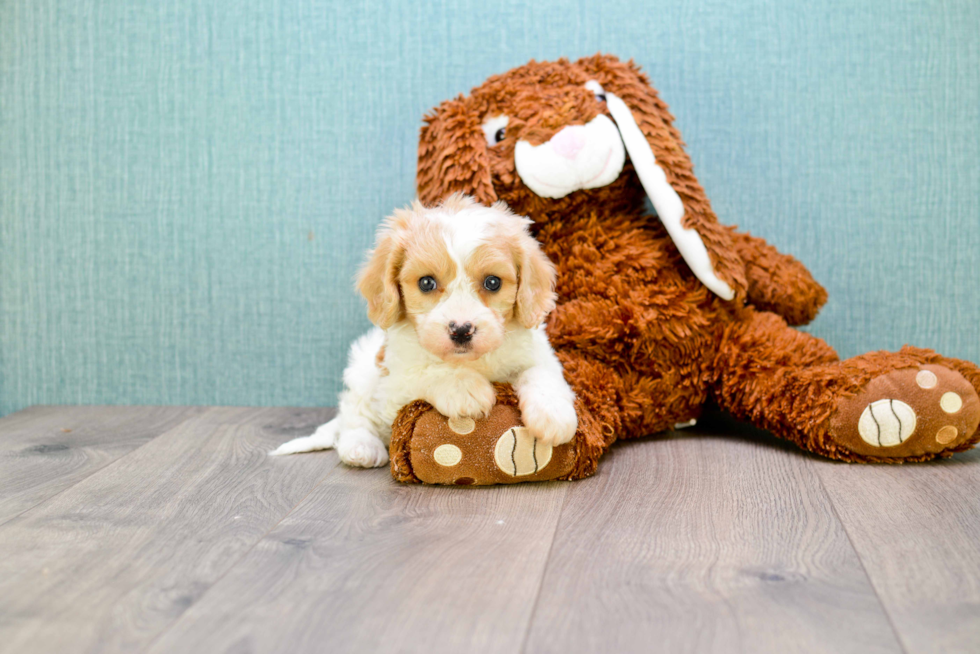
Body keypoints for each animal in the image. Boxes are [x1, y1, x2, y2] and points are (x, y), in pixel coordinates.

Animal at [268, 193, 580, 466]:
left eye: (493, 282)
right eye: (426, 283)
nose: (461, 330)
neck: (470, 361)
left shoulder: (538, 352)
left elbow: (540, 373)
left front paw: (554, 415)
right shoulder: (394, 381)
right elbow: (427, 373)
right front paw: (465, 388)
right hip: (363, 371)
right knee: (353, 414)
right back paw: (361, 447)